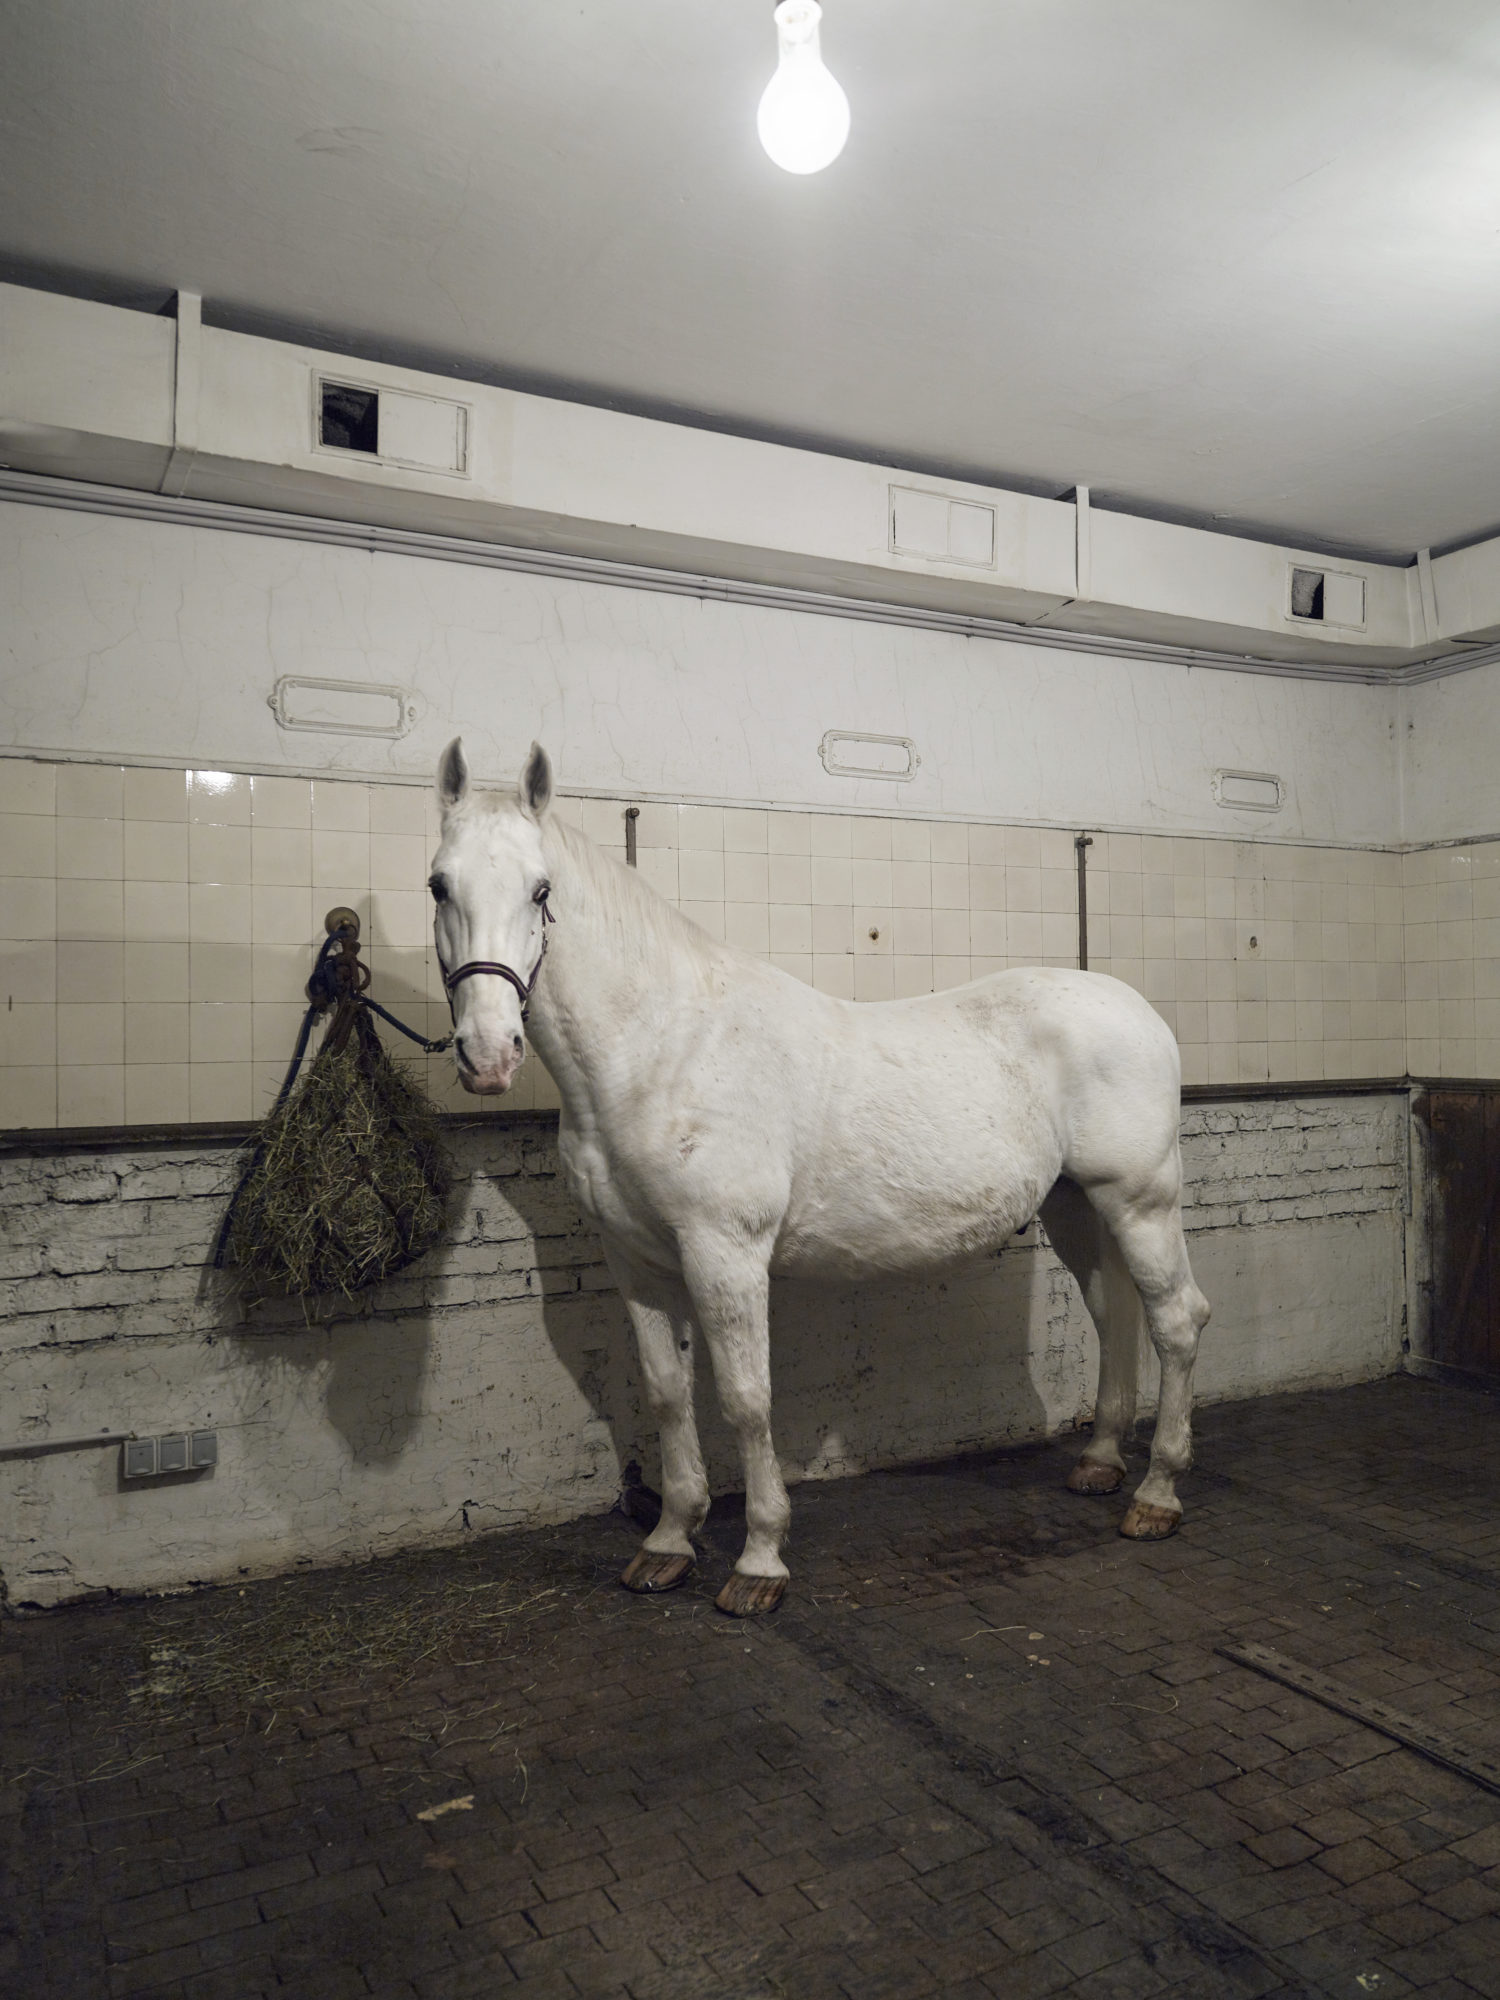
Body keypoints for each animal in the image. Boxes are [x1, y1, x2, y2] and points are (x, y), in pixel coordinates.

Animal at [428, 744, 1216, 1616]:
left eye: (541, 890)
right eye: (438, 885)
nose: (487, 1055)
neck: (663, 1049)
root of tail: (1141, 1013)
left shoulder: (725, 1253)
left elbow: (745, 1398)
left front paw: (759, 1560)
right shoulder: (634, 1259)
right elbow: (667, 1393)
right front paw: (668, 1542)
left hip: (1141, 1201)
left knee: (1176, 1321)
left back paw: (1156, 1495)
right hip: (1077, 1205)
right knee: (1115, 1314)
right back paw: (1101, 1463)